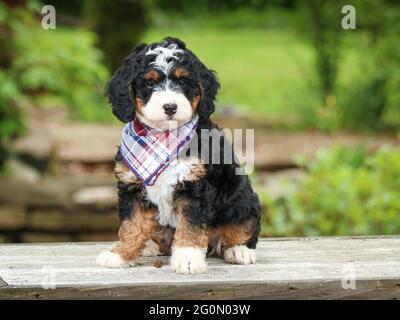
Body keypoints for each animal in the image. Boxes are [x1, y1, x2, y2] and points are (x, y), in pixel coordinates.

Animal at [95, 36, 260, 274]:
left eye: (183, 82)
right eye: (150, 83)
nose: (170, 106)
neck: (163, 138)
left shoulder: (195, 187)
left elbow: (190, 227)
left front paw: (188, 259)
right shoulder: (131, 186)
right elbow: (131, 225)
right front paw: (121, 254)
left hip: (243, 201)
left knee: (244, 227)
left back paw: (239, 250)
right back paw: (149, 246)